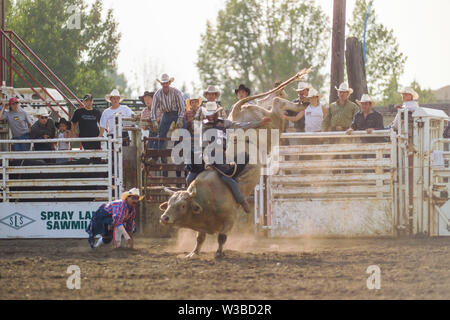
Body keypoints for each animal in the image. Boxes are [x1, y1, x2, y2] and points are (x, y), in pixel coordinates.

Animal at [160, 69, 312, 258]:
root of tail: (240, 109)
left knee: (277, 105)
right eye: (170, 202)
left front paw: (218, 253)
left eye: (181, 205)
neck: (206, 198)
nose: (164, 218)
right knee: (268, 102)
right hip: (256, 118)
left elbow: (222, 237)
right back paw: (291, 97)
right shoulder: (202, 225)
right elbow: (200, 238)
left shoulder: (230, 219)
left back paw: (297, 101)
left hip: (274, 126)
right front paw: (193, 253)